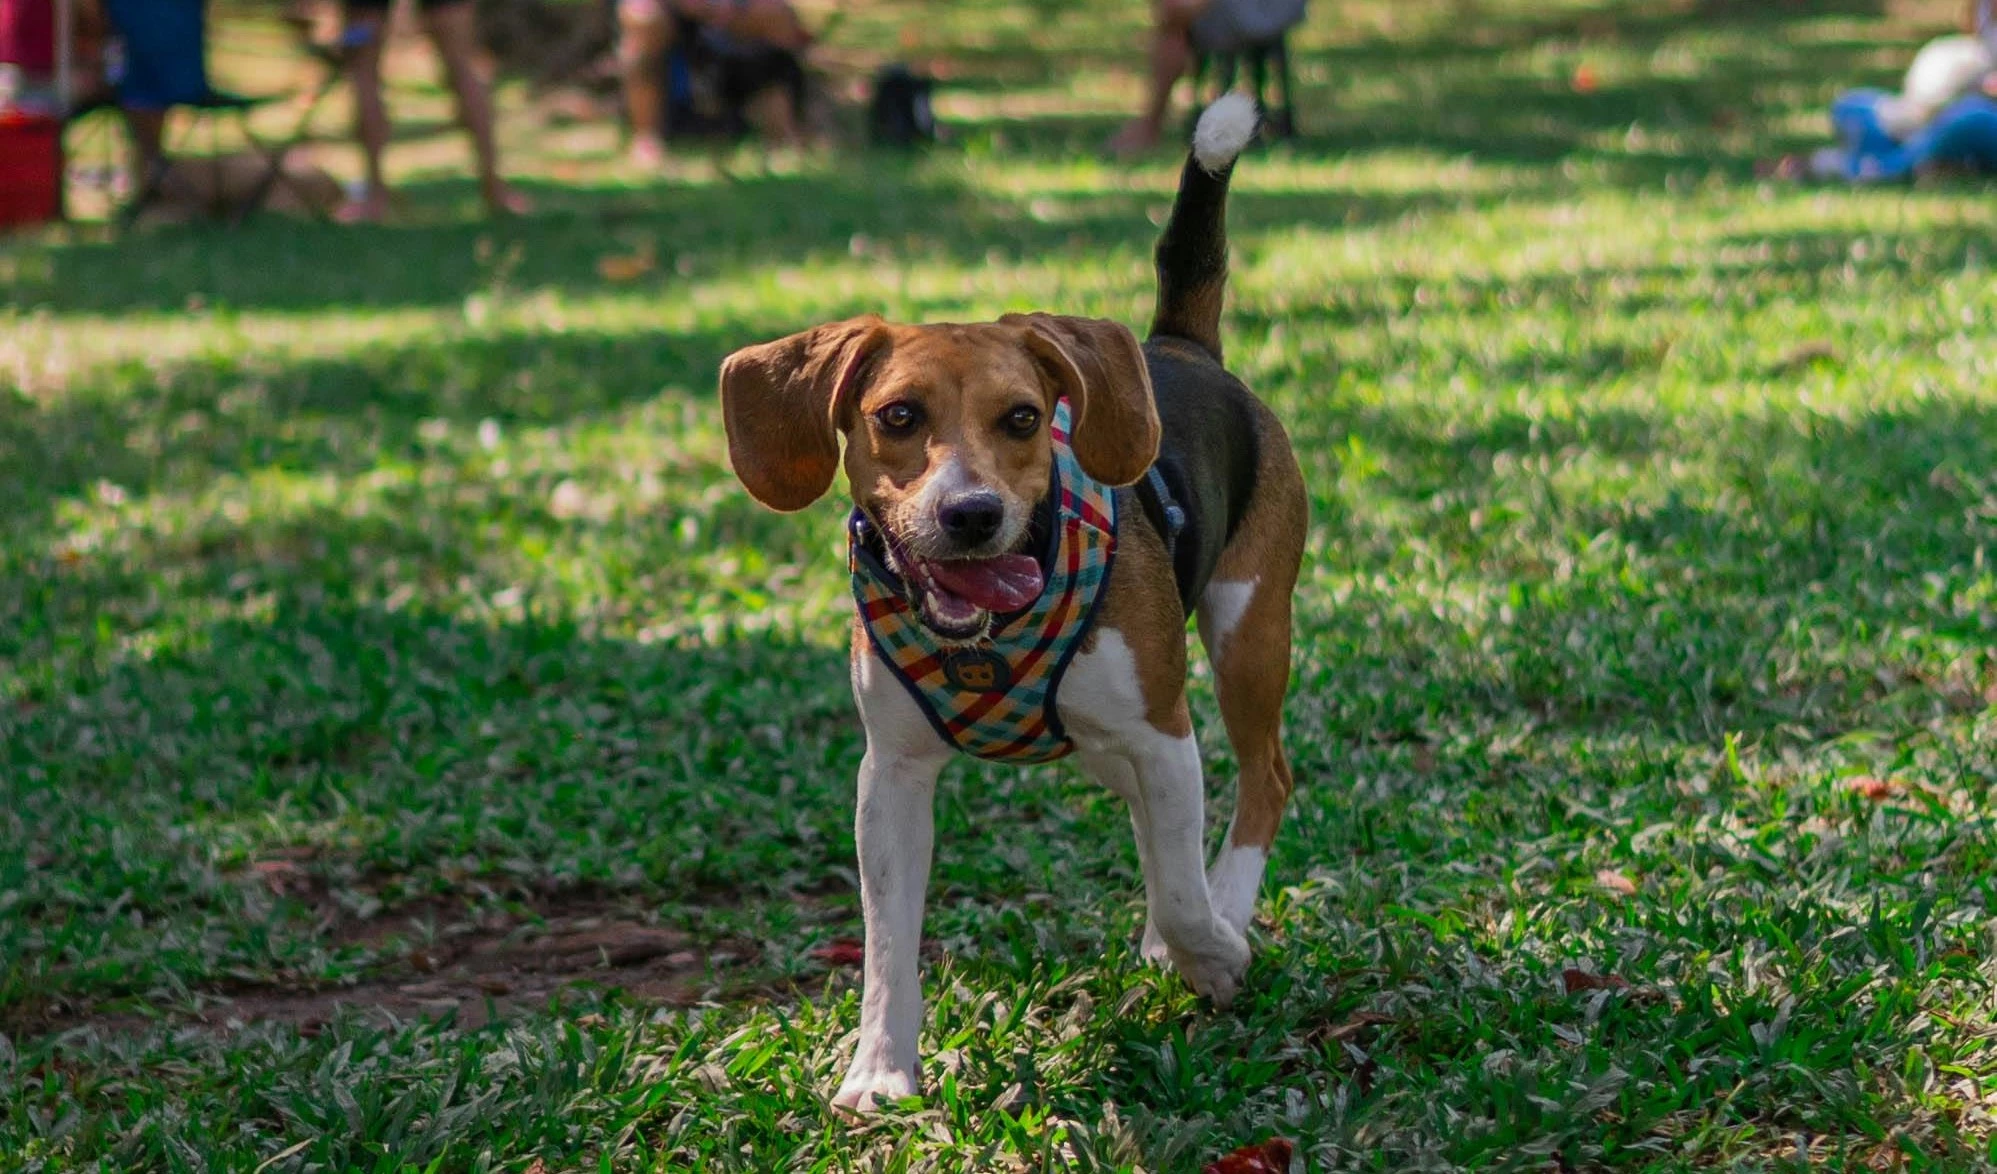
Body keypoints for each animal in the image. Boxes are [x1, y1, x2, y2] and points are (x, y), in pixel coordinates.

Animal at [718, 93, 1310, 1110]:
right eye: (898, 416)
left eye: (1024, 419)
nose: (971, 514)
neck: (986, 637)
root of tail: (1177, 346)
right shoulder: (892, 776)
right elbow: (886, 944)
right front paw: (880, 1069)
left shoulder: (1162, 731)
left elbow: (1181, 892)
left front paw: (1213, 952)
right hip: (1114, 739)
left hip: (1247, 634)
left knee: (1260, 782)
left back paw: (1224, 914)